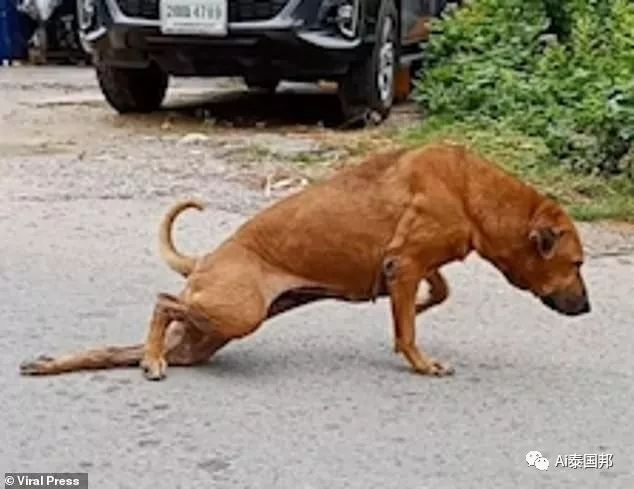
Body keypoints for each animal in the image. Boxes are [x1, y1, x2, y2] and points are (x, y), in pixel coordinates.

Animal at [21, 141, 592, 378]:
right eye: (578, 264)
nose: (587, 308)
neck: (473, 191)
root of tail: (203, 261)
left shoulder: (413, 264)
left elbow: (435, 292)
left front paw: (416, 308)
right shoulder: (407, 262)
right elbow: (409, 328)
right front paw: (420, 360)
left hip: (207, 336)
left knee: (121, 346)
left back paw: (61, 362)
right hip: (238, 313)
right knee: (162, 302)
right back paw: (151, 356)